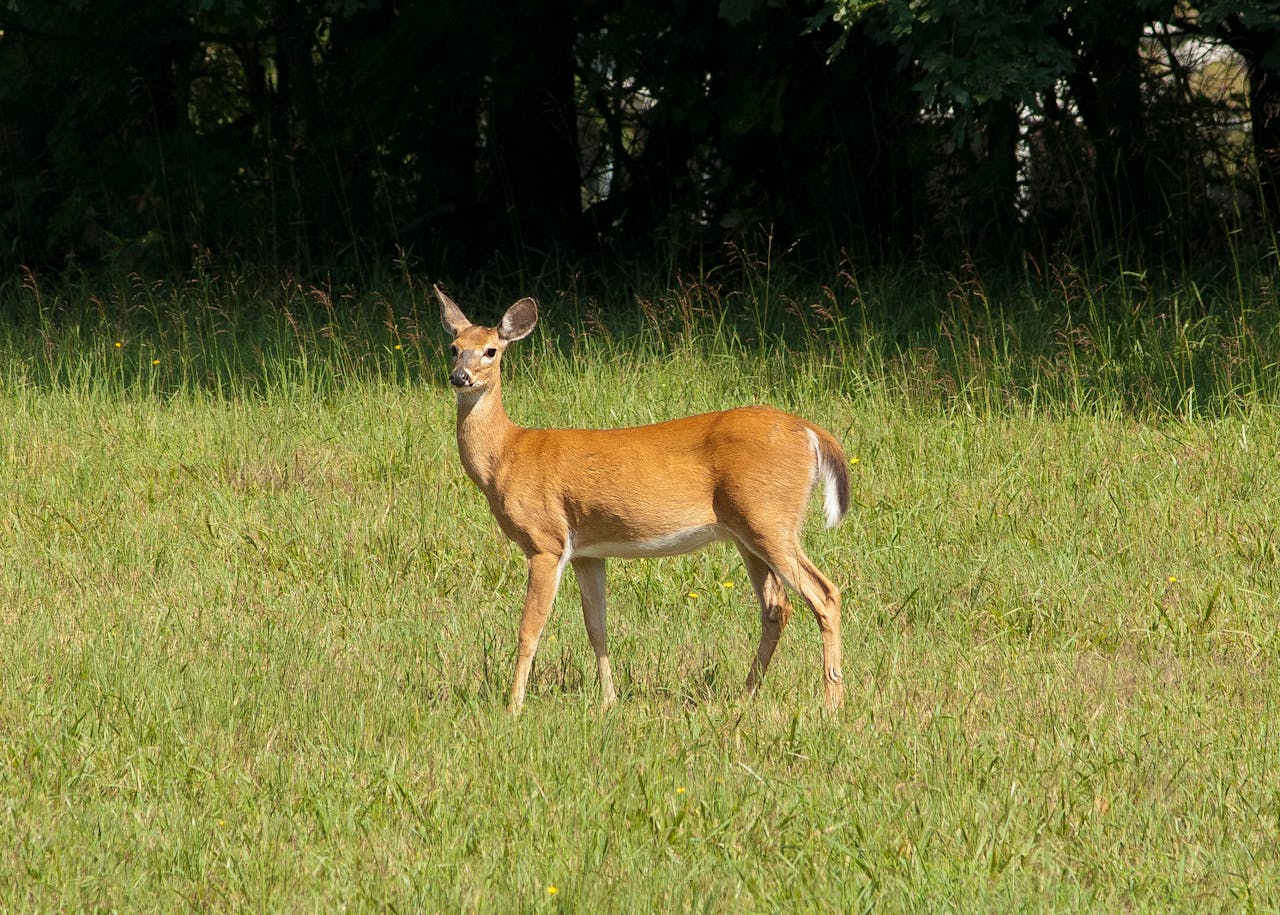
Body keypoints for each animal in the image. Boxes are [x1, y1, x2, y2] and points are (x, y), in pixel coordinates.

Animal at [437, 285, 850, 714]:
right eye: (453, 347)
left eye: (490, 350)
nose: (460, 377)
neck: (507, 454)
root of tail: (811, 432)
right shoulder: (587, 552)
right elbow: (596, 628)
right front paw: (609, 701)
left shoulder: (545, 541)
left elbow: (529, 629)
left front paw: (513, 707)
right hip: (747, 531)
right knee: (776, 606)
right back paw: (746, 694)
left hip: (769, 518)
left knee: (825, 594)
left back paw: (832, 702)